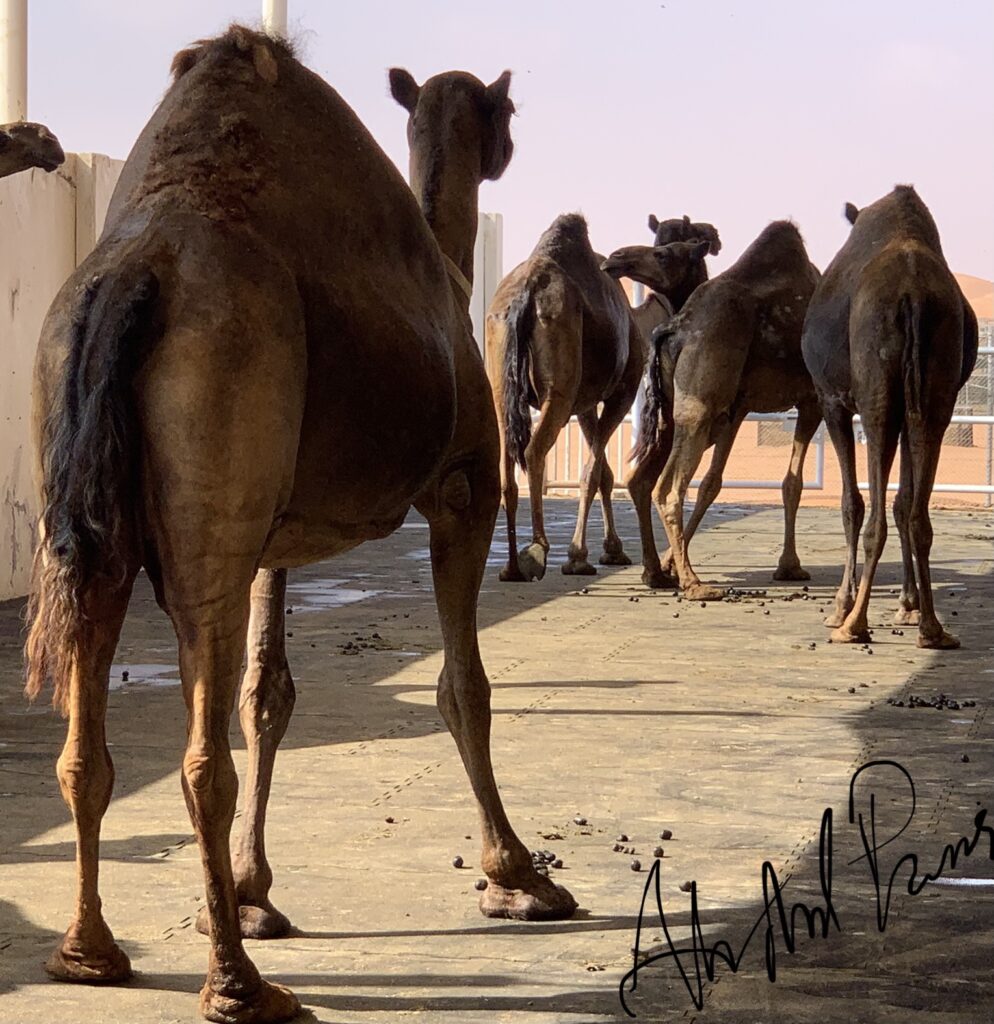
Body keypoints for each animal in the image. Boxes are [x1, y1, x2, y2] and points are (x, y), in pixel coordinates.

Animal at [26, 27, 575, 1024]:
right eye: (504, 109)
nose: (512, 141)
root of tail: (132, 274)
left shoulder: (275, 539)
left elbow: (267, 696)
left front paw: (252, 892)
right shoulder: (464, 486)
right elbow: (463, 688)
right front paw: (518, 877)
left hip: (89, 509)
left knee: (88, 744)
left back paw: (90, 956)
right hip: (220, 450)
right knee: (201, 761)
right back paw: (240, 987)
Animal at [485, 213, 645, 581]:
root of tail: (525, 295)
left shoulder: (583, 403)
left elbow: (603, 472)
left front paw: (611, 550)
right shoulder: (622, 392)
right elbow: (592, 473)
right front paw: (579, 556)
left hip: (500, 380)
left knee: (506, 463)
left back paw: (511, 567)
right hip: (558, 386)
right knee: (533, 451)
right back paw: (537, 550)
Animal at [630, 221, 822, 598]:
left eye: (665, 253)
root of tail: (674, 329)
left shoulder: (737, 408)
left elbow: (712, 483)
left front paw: (669, 562)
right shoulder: (814, 400)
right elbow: (793, 482)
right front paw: (789, 566)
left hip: (681, 415)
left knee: (646, 479)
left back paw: (659, 573)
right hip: (700, 410)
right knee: (667, 487)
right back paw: (694, 584)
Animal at [802, 186, 978, 648]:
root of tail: (912, 293)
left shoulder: (832, 400)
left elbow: (851, 503)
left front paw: (840, 605)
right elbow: (902, 501)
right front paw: (908, 603)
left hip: (876, 395)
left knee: (873, 514)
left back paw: (853, 624)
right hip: (934, 396)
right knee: (916, 511)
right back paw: (933, 628)